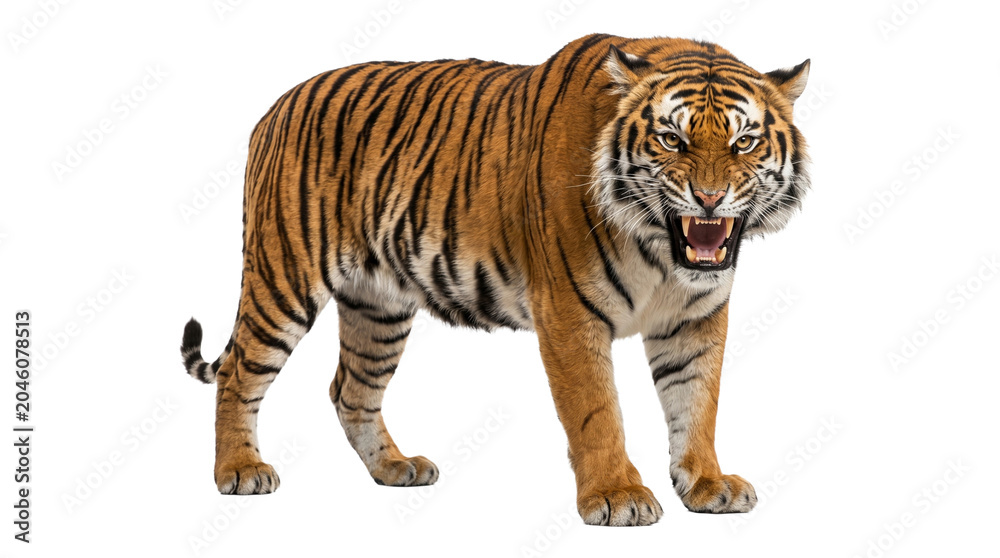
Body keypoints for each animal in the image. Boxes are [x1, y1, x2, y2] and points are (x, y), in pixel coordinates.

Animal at [180, 33, 810, 526]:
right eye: (671, 139)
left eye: (744, 142)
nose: (709, 197)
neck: (658, 246)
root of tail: (277, 104)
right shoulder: (569, 311)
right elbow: (597, 411)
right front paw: (617, 494)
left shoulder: (695, 318)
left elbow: (697, 402)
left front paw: (707, 484)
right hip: (283, 277)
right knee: (239, 373)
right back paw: (240, 470)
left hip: (378, 307)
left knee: (350, 390)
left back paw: (395, 467)